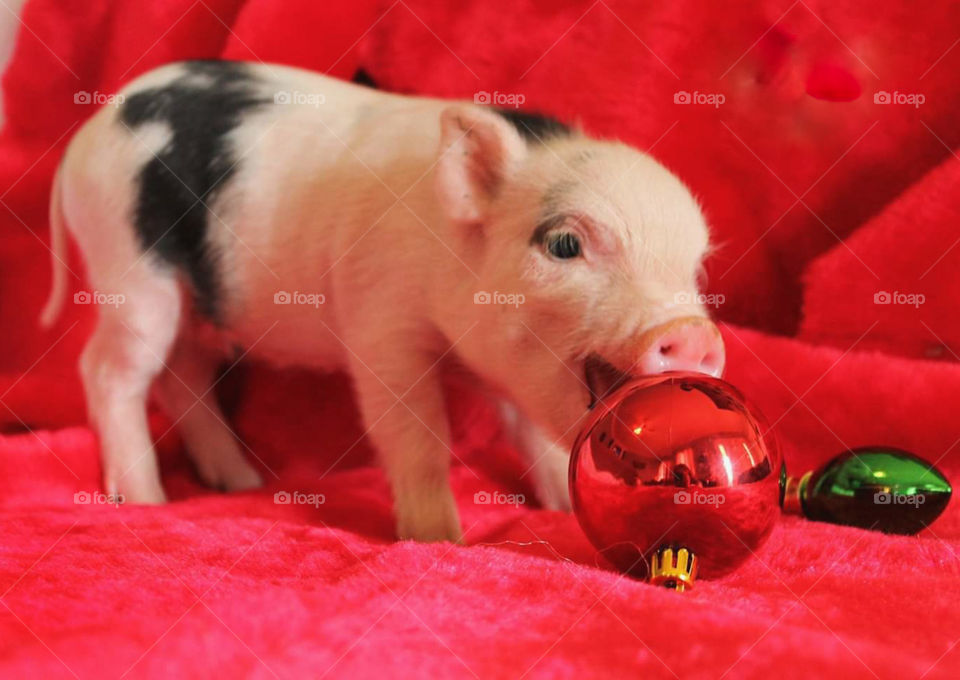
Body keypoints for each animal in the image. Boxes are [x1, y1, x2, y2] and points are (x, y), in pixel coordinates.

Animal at [40, 60, 724, 542]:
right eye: (563, 244)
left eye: (694, 267)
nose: (693, 332)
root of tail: (90, 132)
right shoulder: (380, 322)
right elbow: (416, 435)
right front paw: (440, 541)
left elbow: (534, 434)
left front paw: (560, 508)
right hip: (129, 266)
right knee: (108, 371)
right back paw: (147, 501)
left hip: (201, 304)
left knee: (183, 373)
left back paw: (240, 482)